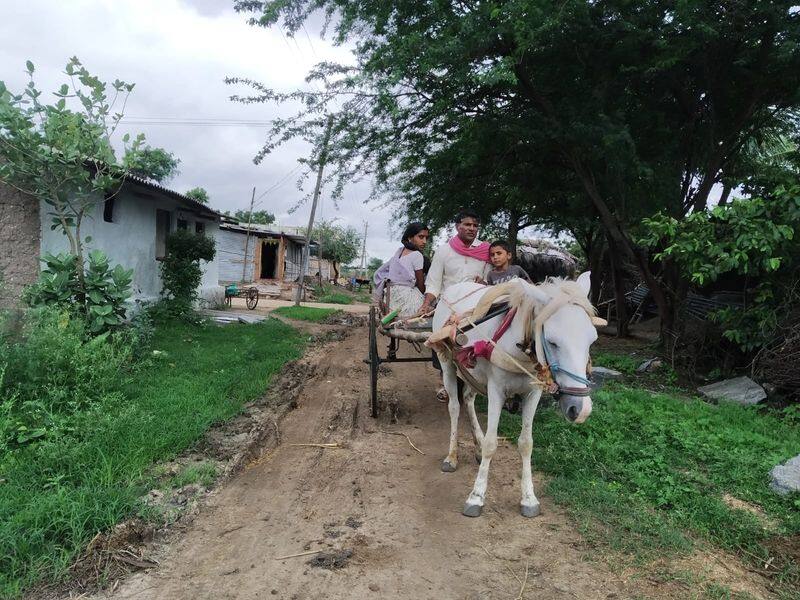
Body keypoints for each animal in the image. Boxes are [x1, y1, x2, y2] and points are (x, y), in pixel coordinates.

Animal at [432, 270, 600, 516]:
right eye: (552, 342)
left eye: (592, 340)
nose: (581, 409)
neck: (519, 347)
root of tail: (455, 288)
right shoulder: (496, 389)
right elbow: (492, 443)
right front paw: (476, 497)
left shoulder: (533, 393)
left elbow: (526, 443)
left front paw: (529, 498)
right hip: (447, 363)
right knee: (454, 407)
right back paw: (451, 456)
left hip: (471, 370)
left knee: (469, 400)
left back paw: (476, 445)